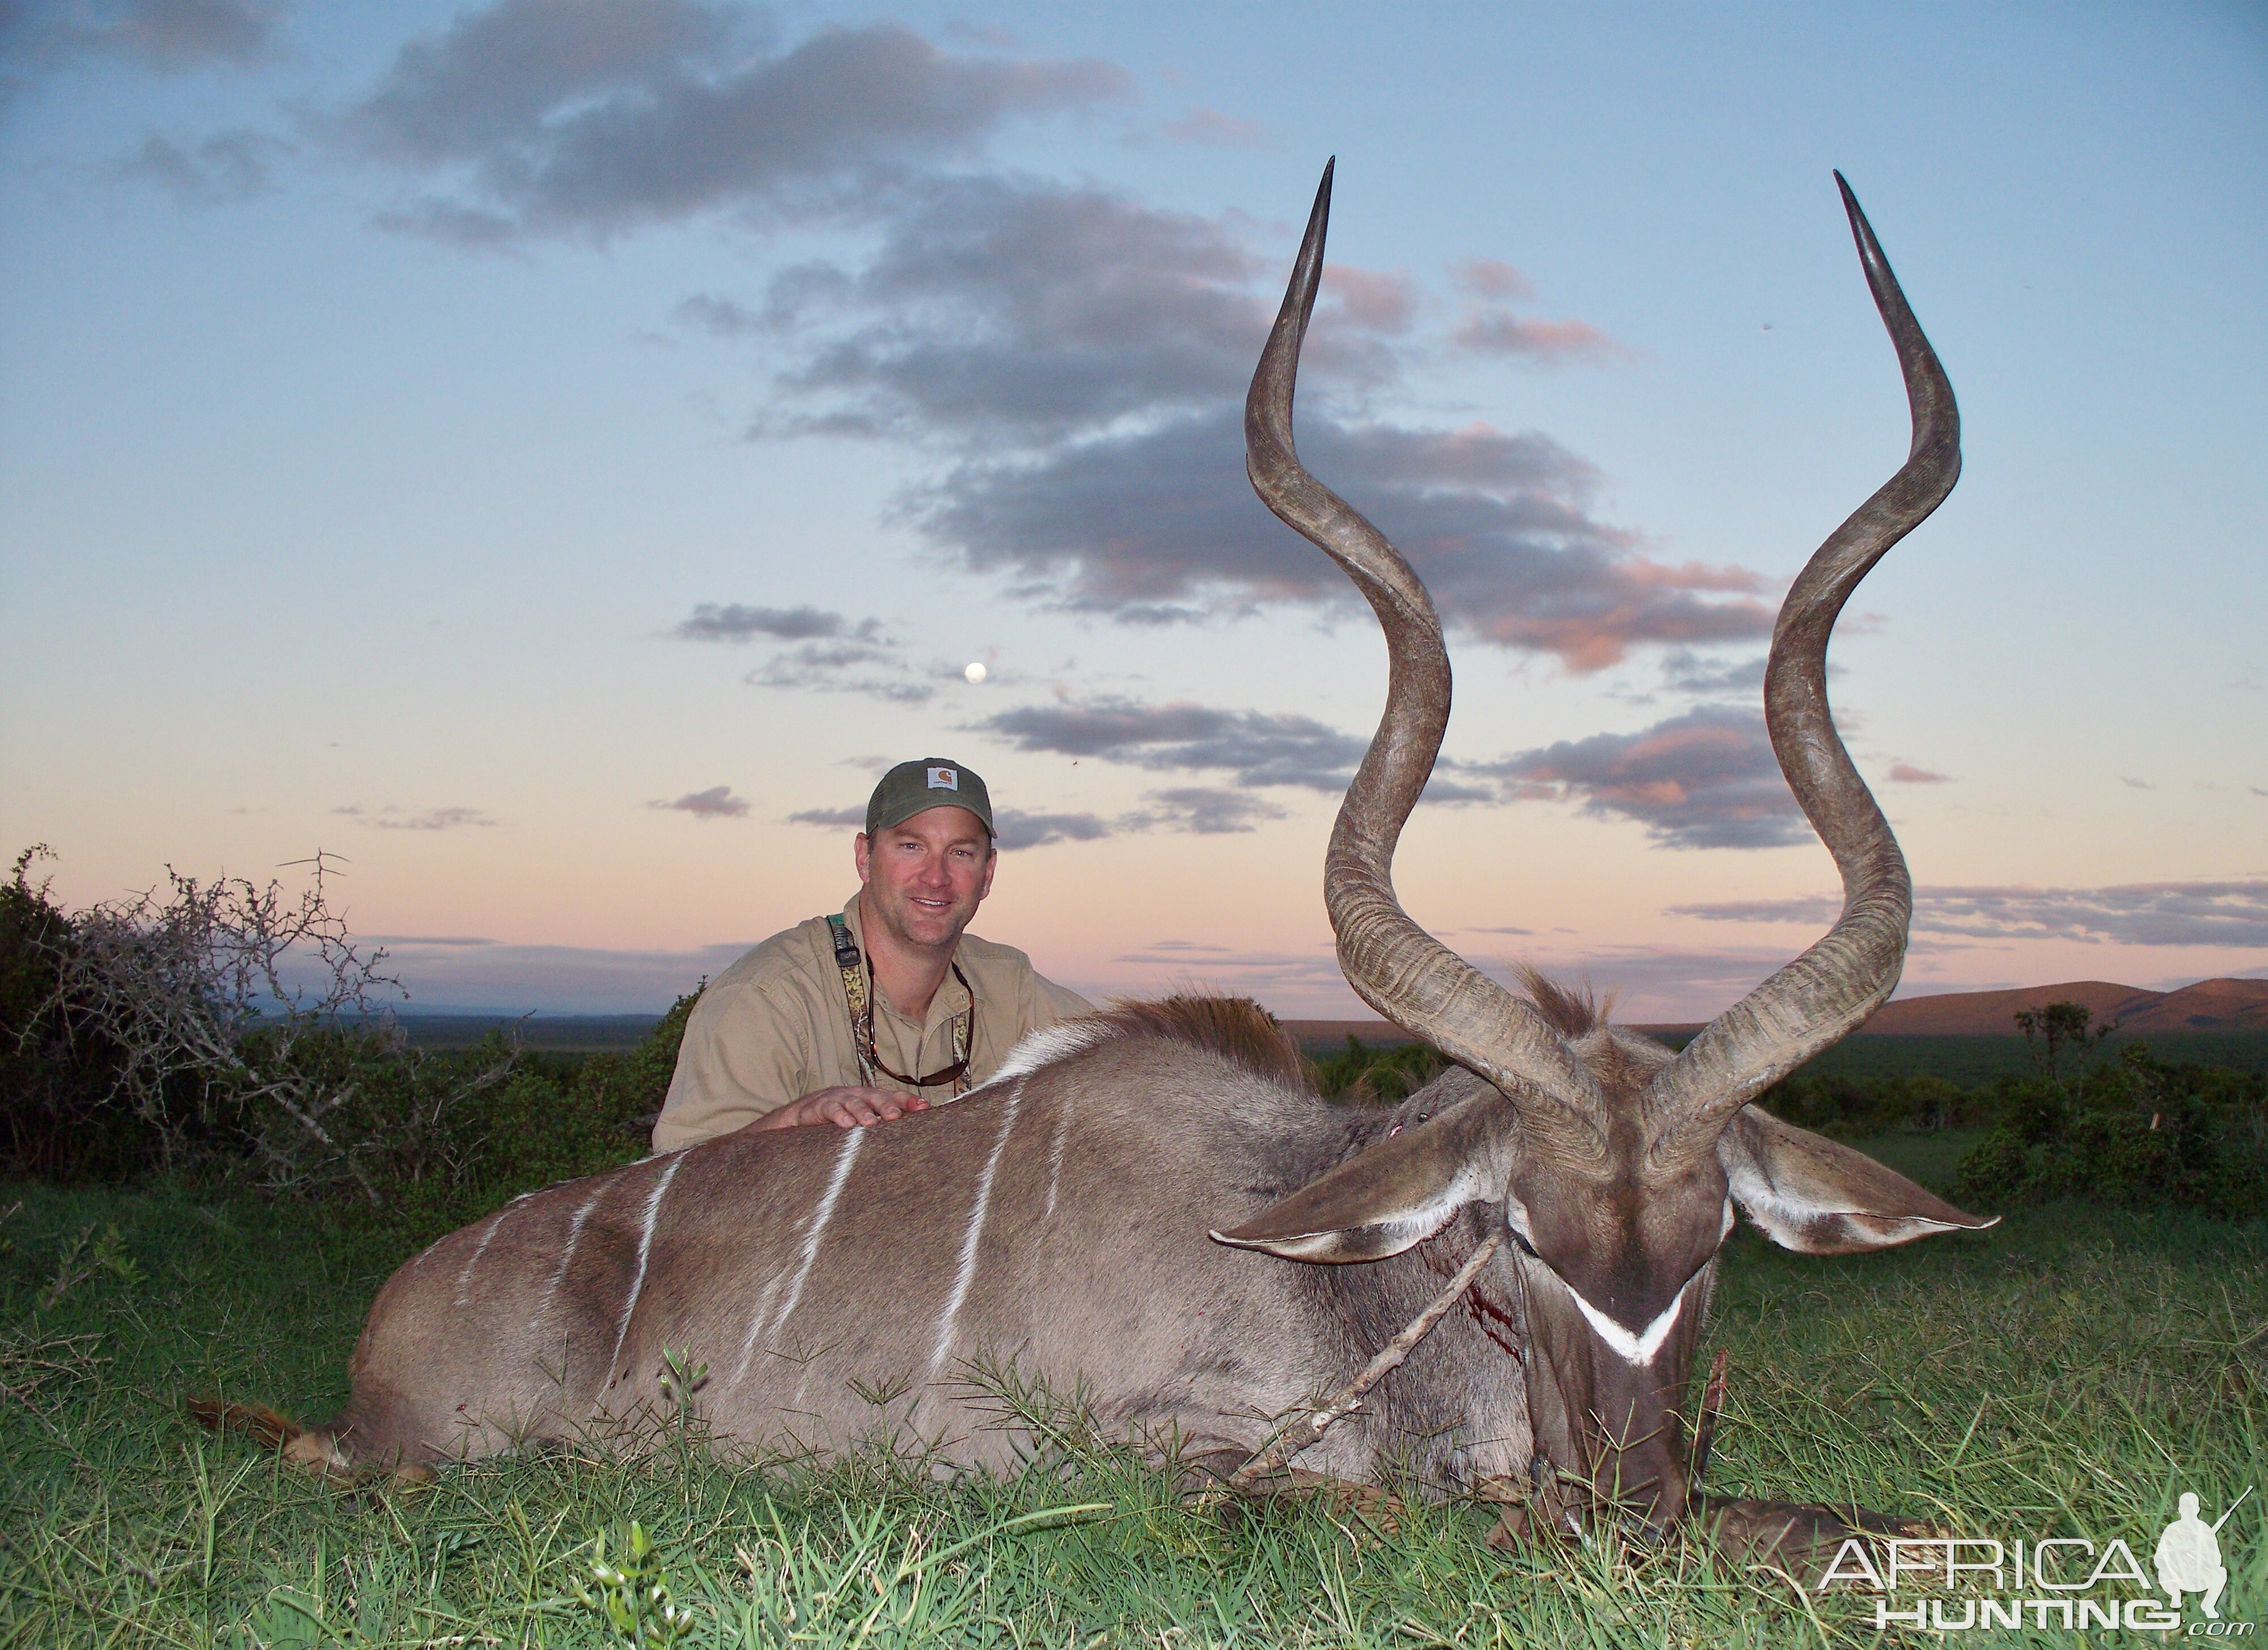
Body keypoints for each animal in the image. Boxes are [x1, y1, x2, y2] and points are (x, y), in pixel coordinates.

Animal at [235, 164, 2005, 1550]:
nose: (1630, 1512)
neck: (1333, 1271)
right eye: (1516, 1238)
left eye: (1712, 1245)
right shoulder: (1148, 1456)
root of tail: (384, 1326)